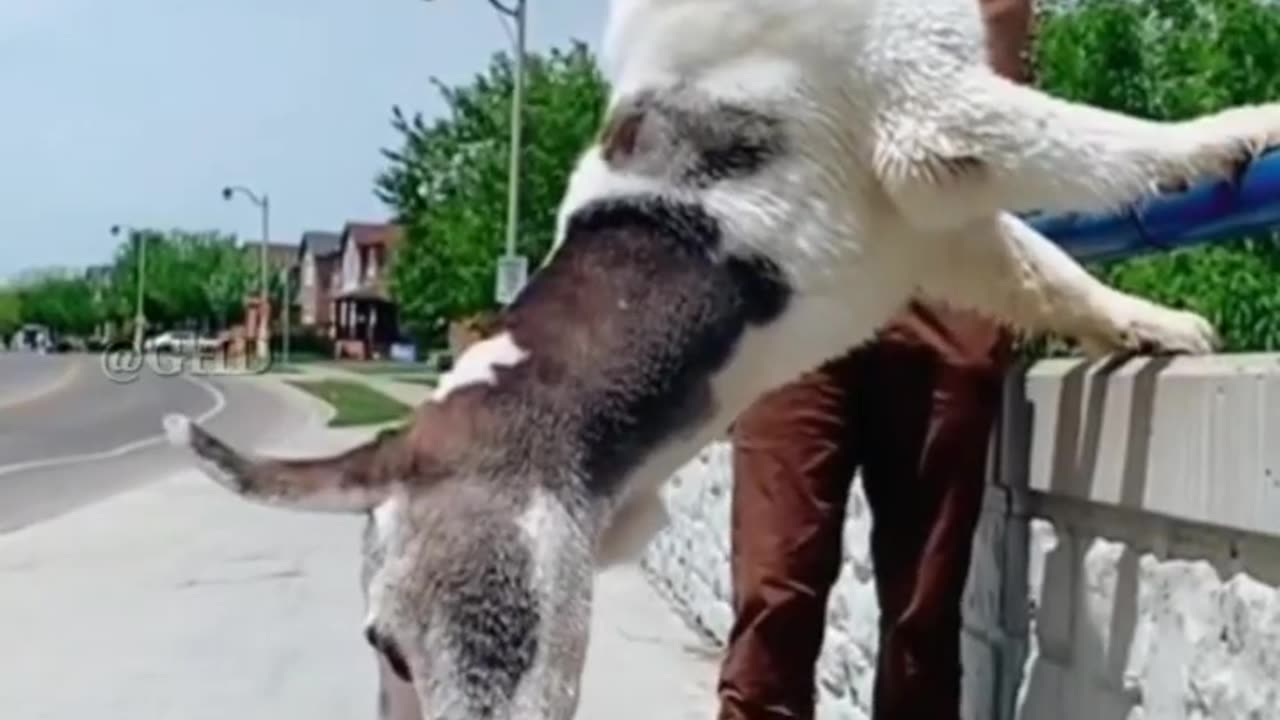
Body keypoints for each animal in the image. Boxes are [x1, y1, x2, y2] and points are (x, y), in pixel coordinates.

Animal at [167, 2, 1280, 712]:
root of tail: (402, 450)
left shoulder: (938, 229)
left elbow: (1051, 267)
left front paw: (1152, 325)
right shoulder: (938, 116)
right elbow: (1107, 143)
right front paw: (1245, 127)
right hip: (510, 646)